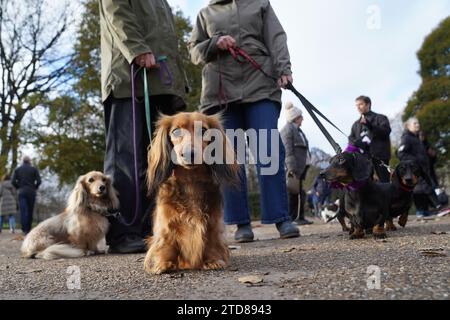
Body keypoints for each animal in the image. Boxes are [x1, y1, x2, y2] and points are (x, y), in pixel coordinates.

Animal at [145, 112, 239, 276]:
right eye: (176, 131)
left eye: (203, 130)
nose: (189, 154)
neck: (190, 180)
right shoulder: (166, 225)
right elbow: (166, 243)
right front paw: (163, 264)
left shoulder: (213, 223)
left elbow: (211, 241)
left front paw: (213, 261)